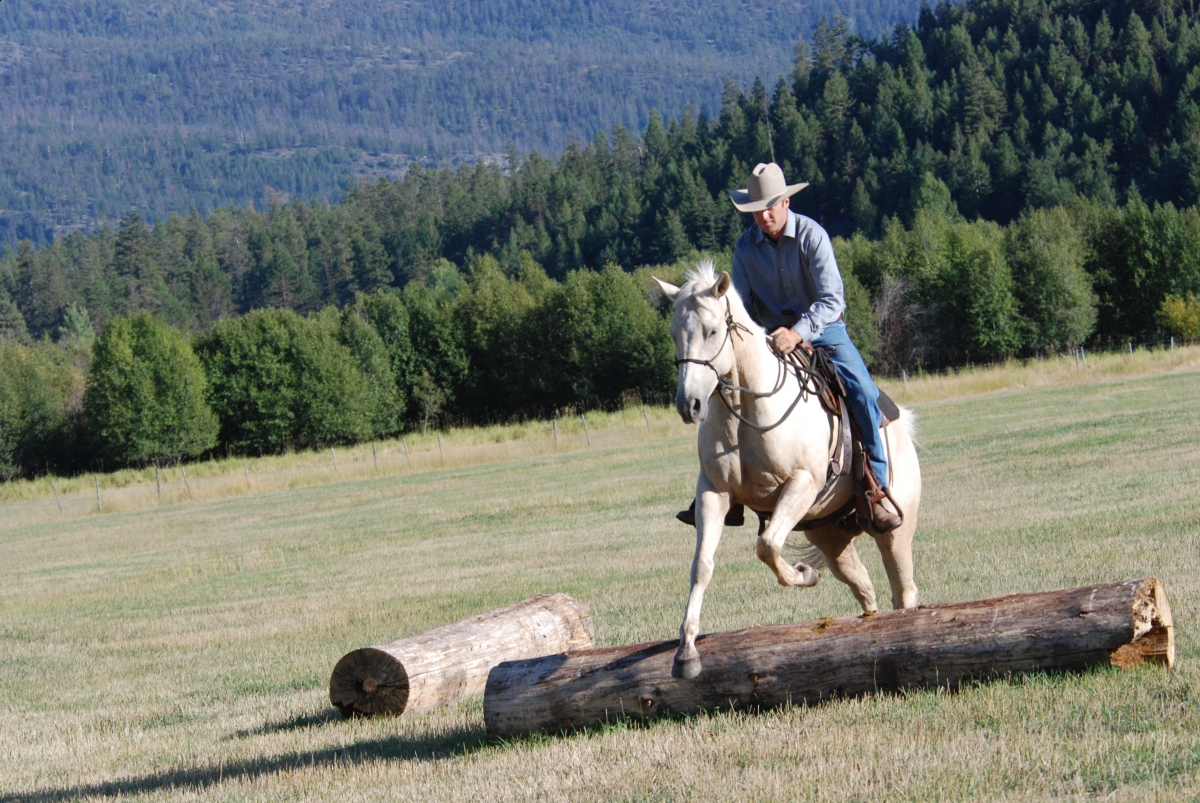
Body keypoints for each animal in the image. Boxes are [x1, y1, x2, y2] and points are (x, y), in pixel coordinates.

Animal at [654, 261, 922, 679]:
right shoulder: (713, 492)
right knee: (865, 589)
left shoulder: (801, 484)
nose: (690, 404)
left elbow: (767, 545)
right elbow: (702, 566)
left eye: (712, 331)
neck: (745, 411)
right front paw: (686, 653)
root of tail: (900, 423)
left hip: (895, 529)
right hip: (829, 533)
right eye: (673, 334)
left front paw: (803, 574)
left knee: (903, 589)